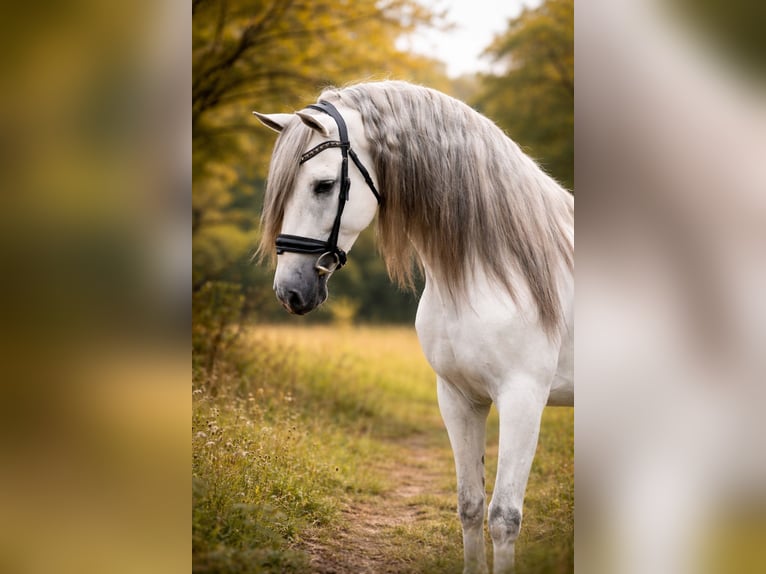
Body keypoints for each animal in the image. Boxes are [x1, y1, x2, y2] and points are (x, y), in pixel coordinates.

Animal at [253, 80, 573, 573]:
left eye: (324, 185)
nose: (290, 291)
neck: (492, 270)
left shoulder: (523, 399)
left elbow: (503, 517)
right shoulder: (459, 398)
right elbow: (469, 505)